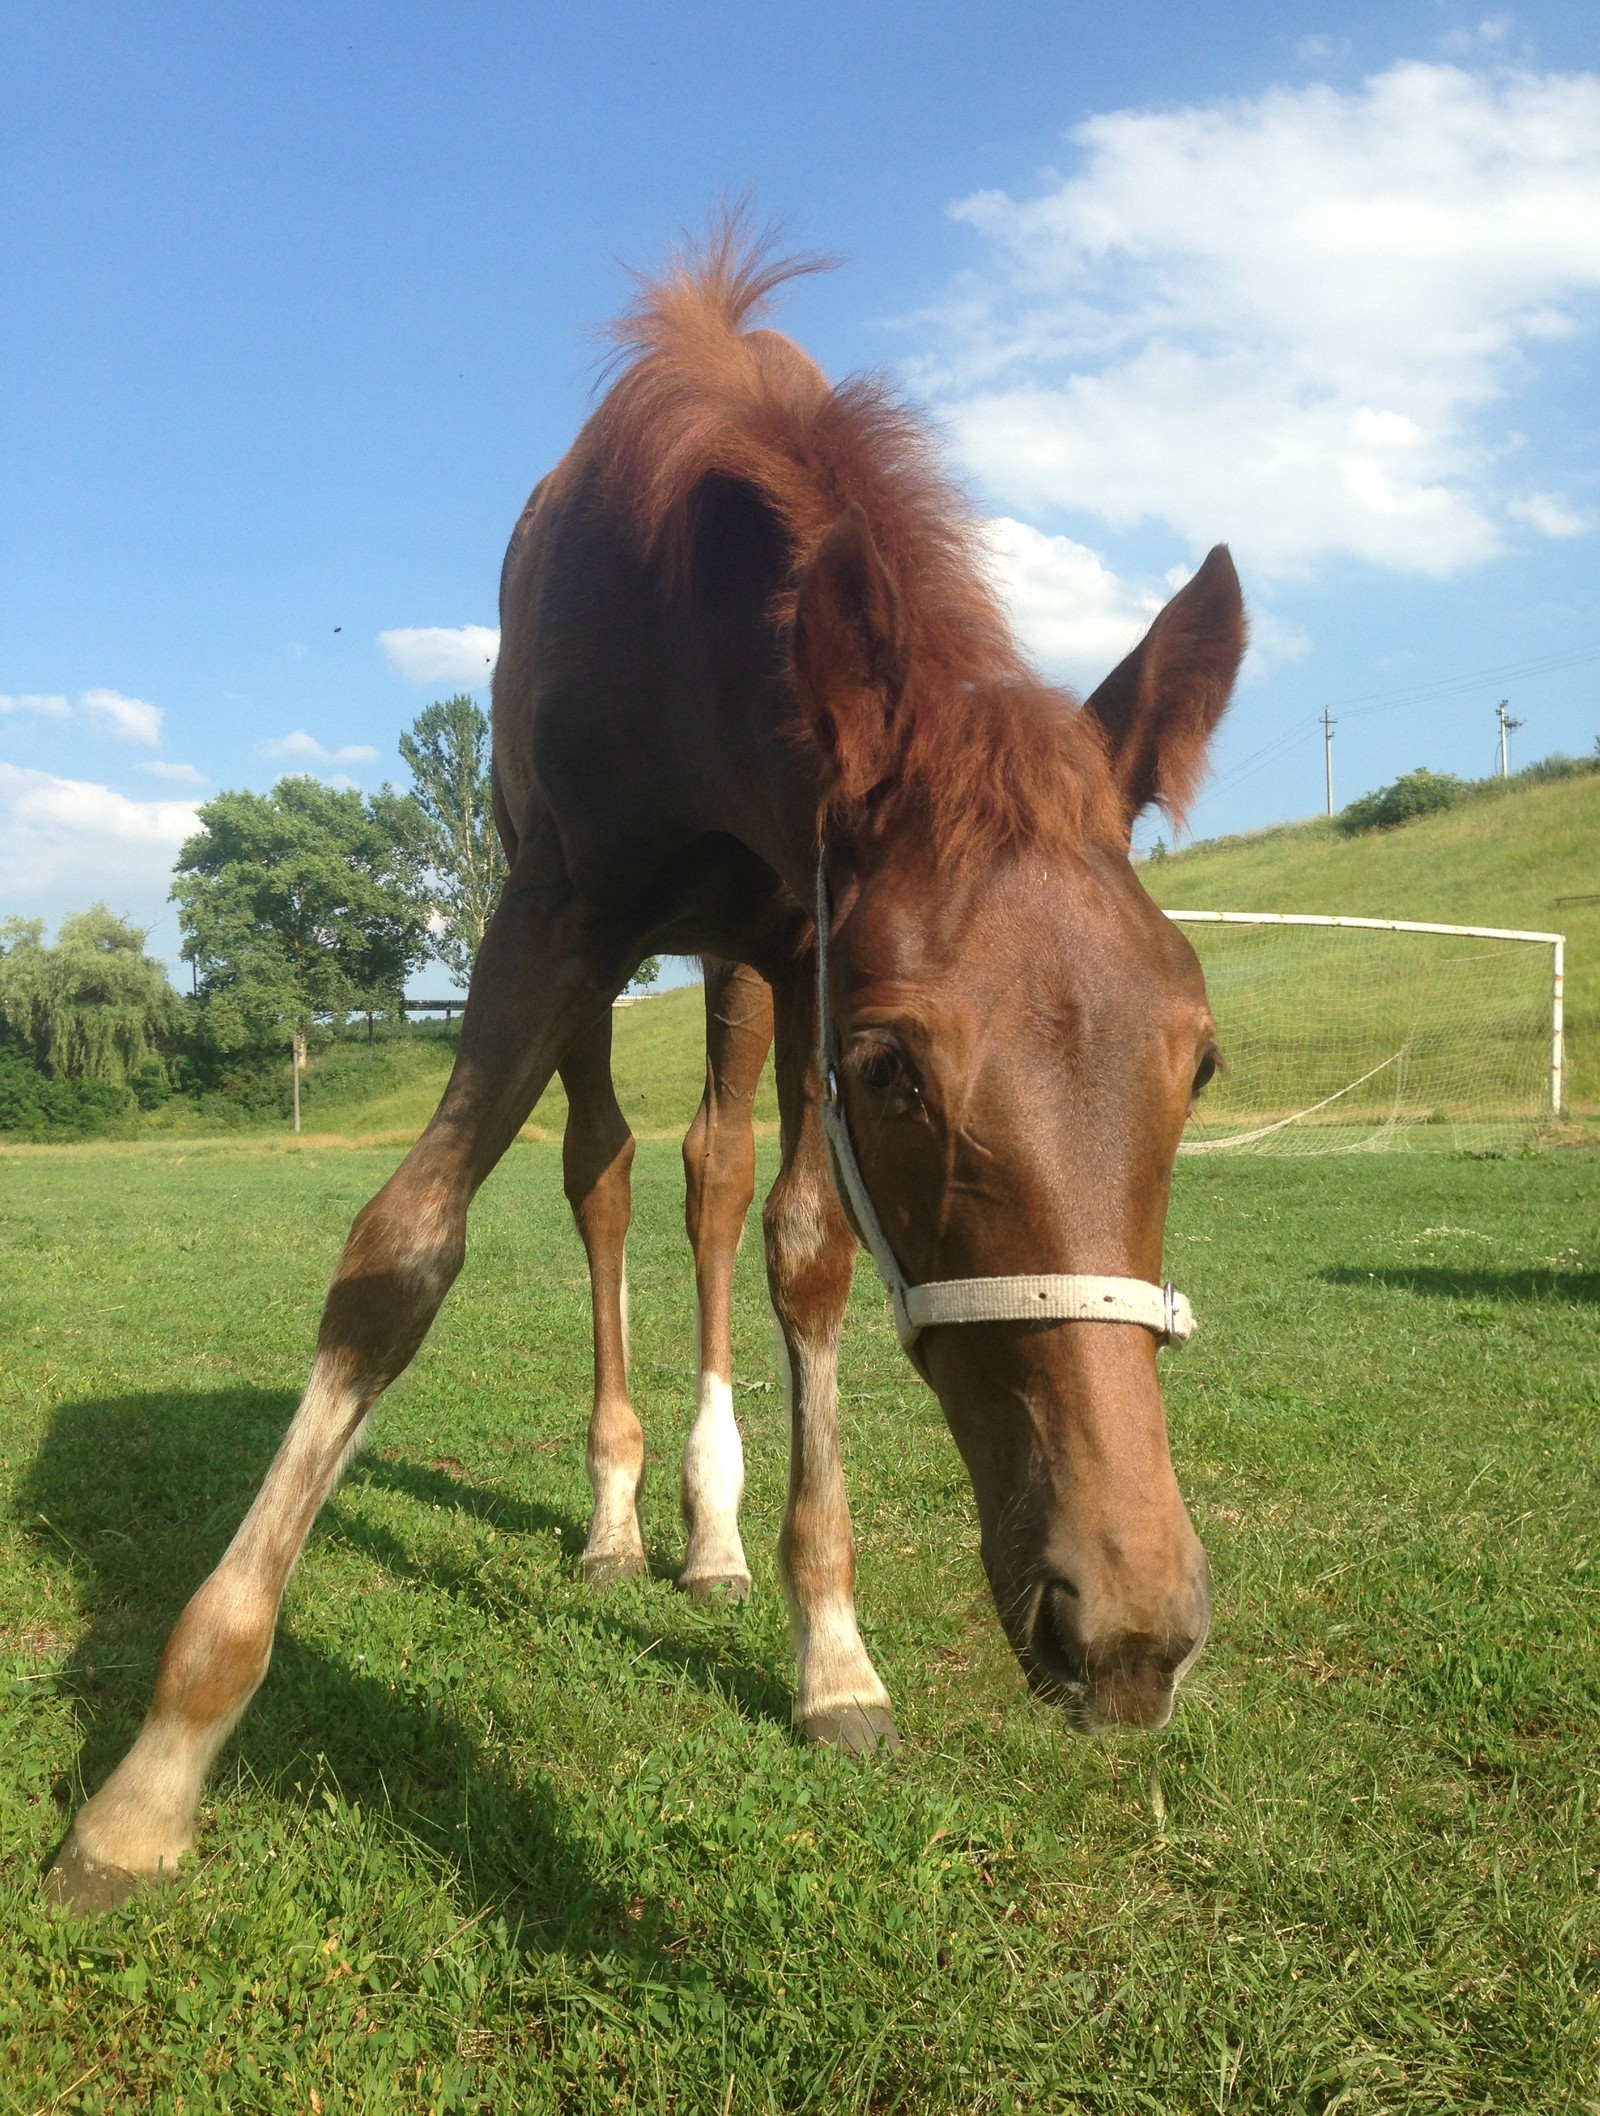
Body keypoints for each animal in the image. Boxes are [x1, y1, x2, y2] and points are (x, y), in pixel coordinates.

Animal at [50, 231, 1244, 1921]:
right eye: (893, 1067)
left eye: (1199, 1062)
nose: (1130, 1628)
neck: (690, 610)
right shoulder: (554, 909)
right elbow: (402, 1252)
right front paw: (151, 1778)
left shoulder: (803, 933)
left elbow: (806, 1253)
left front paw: (833, 1654)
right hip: (608, 961)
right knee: (607, 1171)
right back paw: (621, 1513)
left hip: (734, 972)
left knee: (713, 1177)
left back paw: (710, 1530)